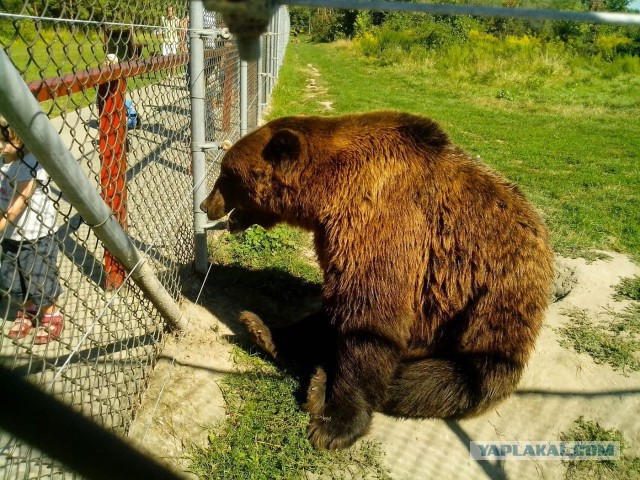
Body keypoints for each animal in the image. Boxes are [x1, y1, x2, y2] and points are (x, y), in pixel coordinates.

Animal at [200, 111, 555, 451]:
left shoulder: (388, 224)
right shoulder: (340, 242)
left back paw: (323, 380)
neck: (327, 193)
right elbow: (342, 308)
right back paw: (266, 333)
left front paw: (334, 426)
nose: (206, 204)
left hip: (492, 305)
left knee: (456, 378)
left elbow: (371, 320)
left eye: (226, 174)